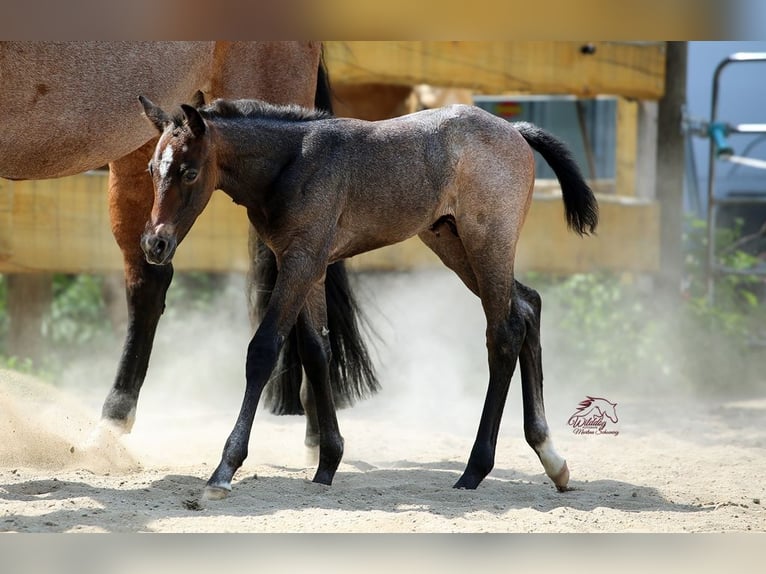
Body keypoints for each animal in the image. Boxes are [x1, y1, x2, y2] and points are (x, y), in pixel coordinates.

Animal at [137, 95, 599, 498]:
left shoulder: (300, 262)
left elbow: (263, 350)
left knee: (503, 332)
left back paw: (474, 470)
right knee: (528, 306)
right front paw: (327, 464)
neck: (292, 162)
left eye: (189, 172)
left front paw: (223, 471)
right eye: (151, 168)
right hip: (451, 243)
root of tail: (514, 130)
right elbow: (316, 351)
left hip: (488, 243)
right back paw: (552, 458)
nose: (154, 244)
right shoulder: (309, 266)